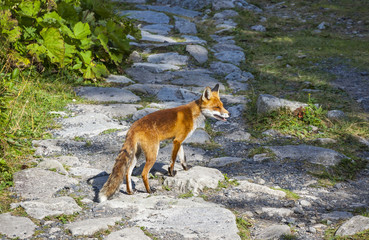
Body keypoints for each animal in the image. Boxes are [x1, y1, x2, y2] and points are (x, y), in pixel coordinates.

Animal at [99, 84, 229, 202]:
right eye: (217, 107)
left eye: (222, 106)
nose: (228, 114)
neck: (193, 114)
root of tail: (133, 127)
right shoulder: (177, 141)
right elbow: (172, 161)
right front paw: (171, 173)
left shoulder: (178, 141)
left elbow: (183, 158)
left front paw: (186, 169)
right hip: (153, 154)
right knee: (143, 174)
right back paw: (149, 190)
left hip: (136, 155)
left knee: (127, 172)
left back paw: (130, 192)